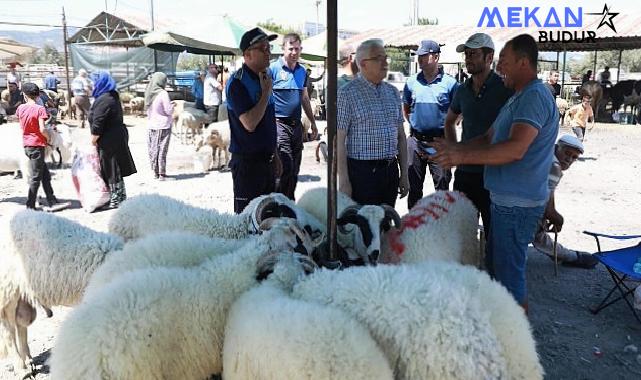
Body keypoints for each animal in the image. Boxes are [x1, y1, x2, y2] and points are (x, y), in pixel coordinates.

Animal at [0, 209, 124, 370]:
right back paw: (21, 366)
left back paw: (28, 359)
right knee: (9, 330)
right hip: (8, 289)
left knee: (20, 323)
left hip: (21, 294)